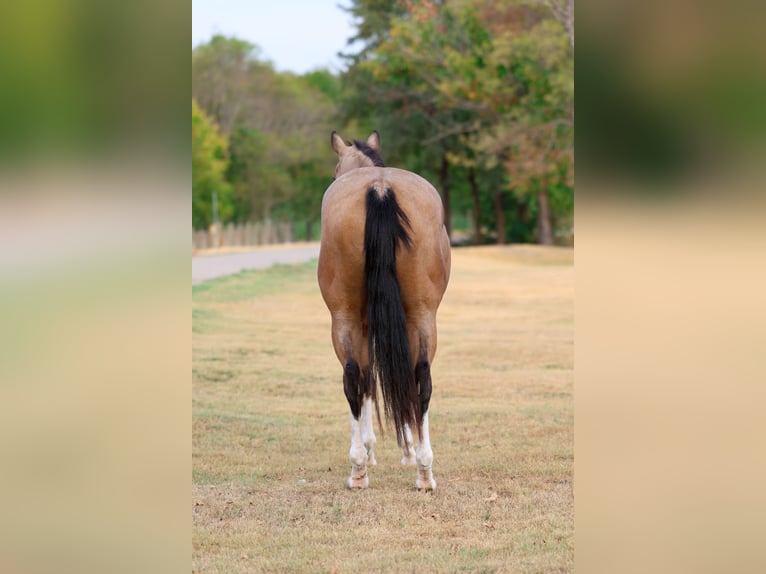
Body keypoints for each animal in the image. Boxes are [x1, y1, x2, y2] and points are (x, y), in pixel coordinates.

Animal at [317, 131, 451, 490]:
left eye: (334, 172)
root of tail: (379, 187)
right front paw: (402, 450)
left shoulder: (366, 323)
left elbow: (371, 378)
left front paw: (374, 448)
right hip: (420, 315)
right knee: (419, 375)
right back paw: (423, 471)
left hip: (348, 317)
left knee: (356, 375)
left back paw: (362, 468)